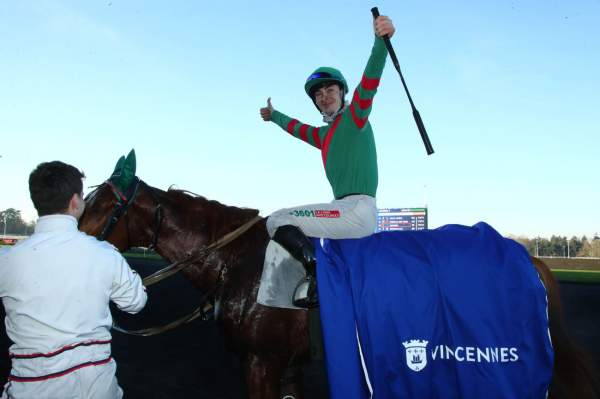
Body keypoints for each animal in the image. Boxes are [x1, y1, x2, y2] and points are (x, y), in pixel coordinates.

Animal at [79, 178, 600, 399]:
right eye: (86, 199)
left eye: (103, 206)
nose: (68, 236)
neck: (237, 260)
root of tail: (526, 255)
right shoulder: (289, 365)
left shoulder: (260, 363)